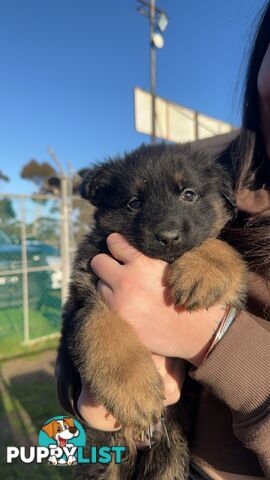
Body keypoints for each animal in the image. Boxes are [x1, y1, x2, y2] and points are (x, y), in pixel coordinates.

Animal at [56, 143, 247, 480]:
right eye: (134, 203)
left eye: (189, 194)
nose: (168, 237)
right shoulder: (84, 295)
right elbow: (101, 327)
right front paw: (133, 391)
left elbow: (220, 242)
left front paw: (204, 269)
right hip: (103, 456)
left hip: (170, 457)